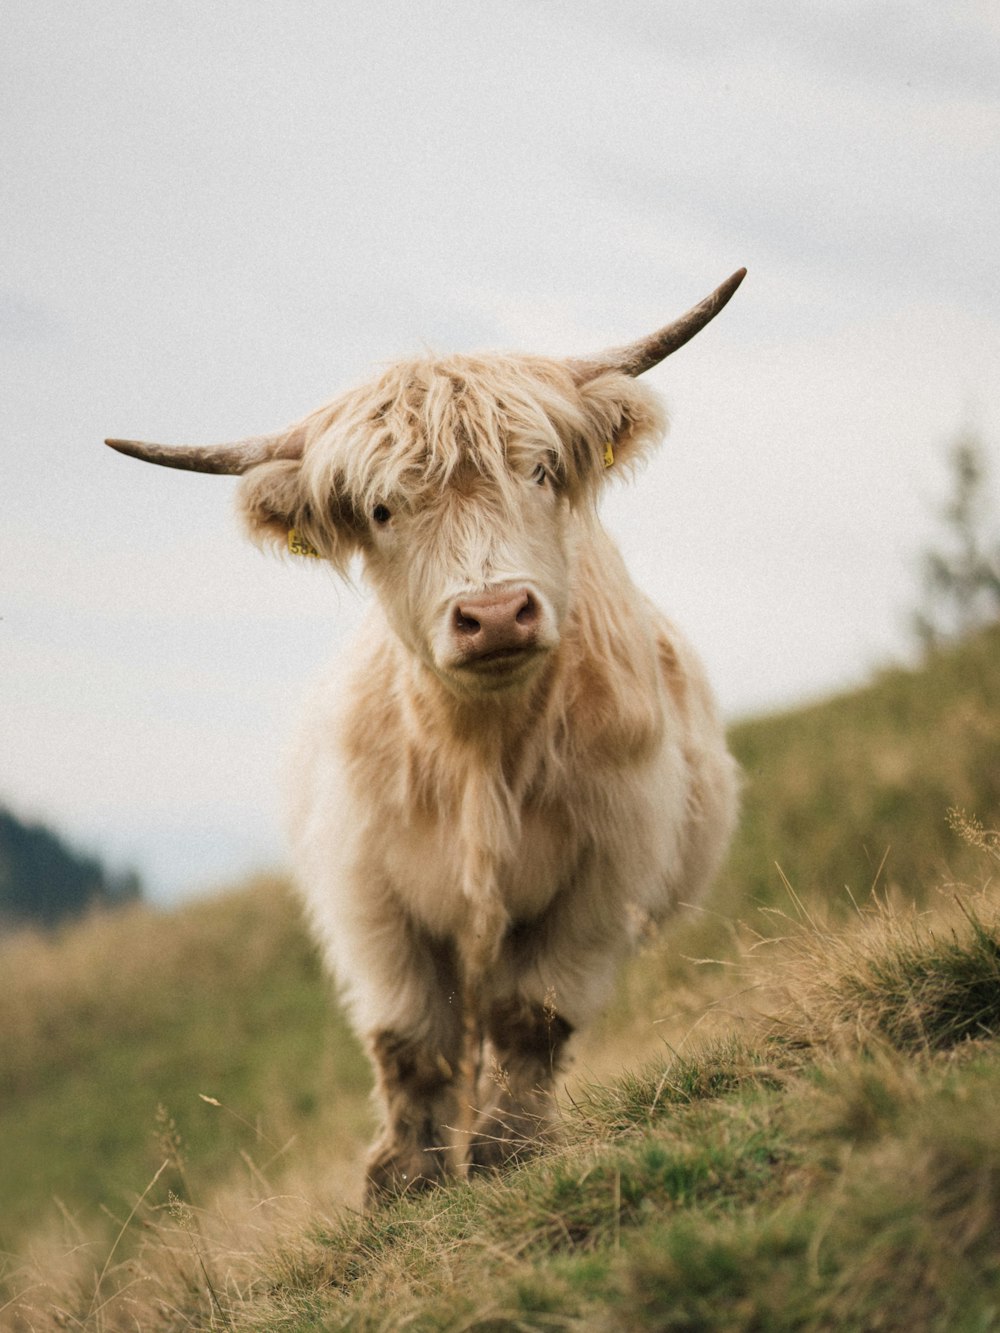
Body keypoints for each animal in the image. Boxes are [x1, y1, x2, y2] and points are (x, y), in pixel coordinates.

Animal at [108, 267, 746, 1199]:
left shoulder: (607, 870)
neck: (479, 746)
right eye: (381, 509)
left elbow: (534, 1012)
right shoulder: (368, 893)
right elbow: (411, 1039)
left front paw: (510, 1147)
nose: (495, 613)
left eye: (541, 469)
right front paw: (404, 1179)